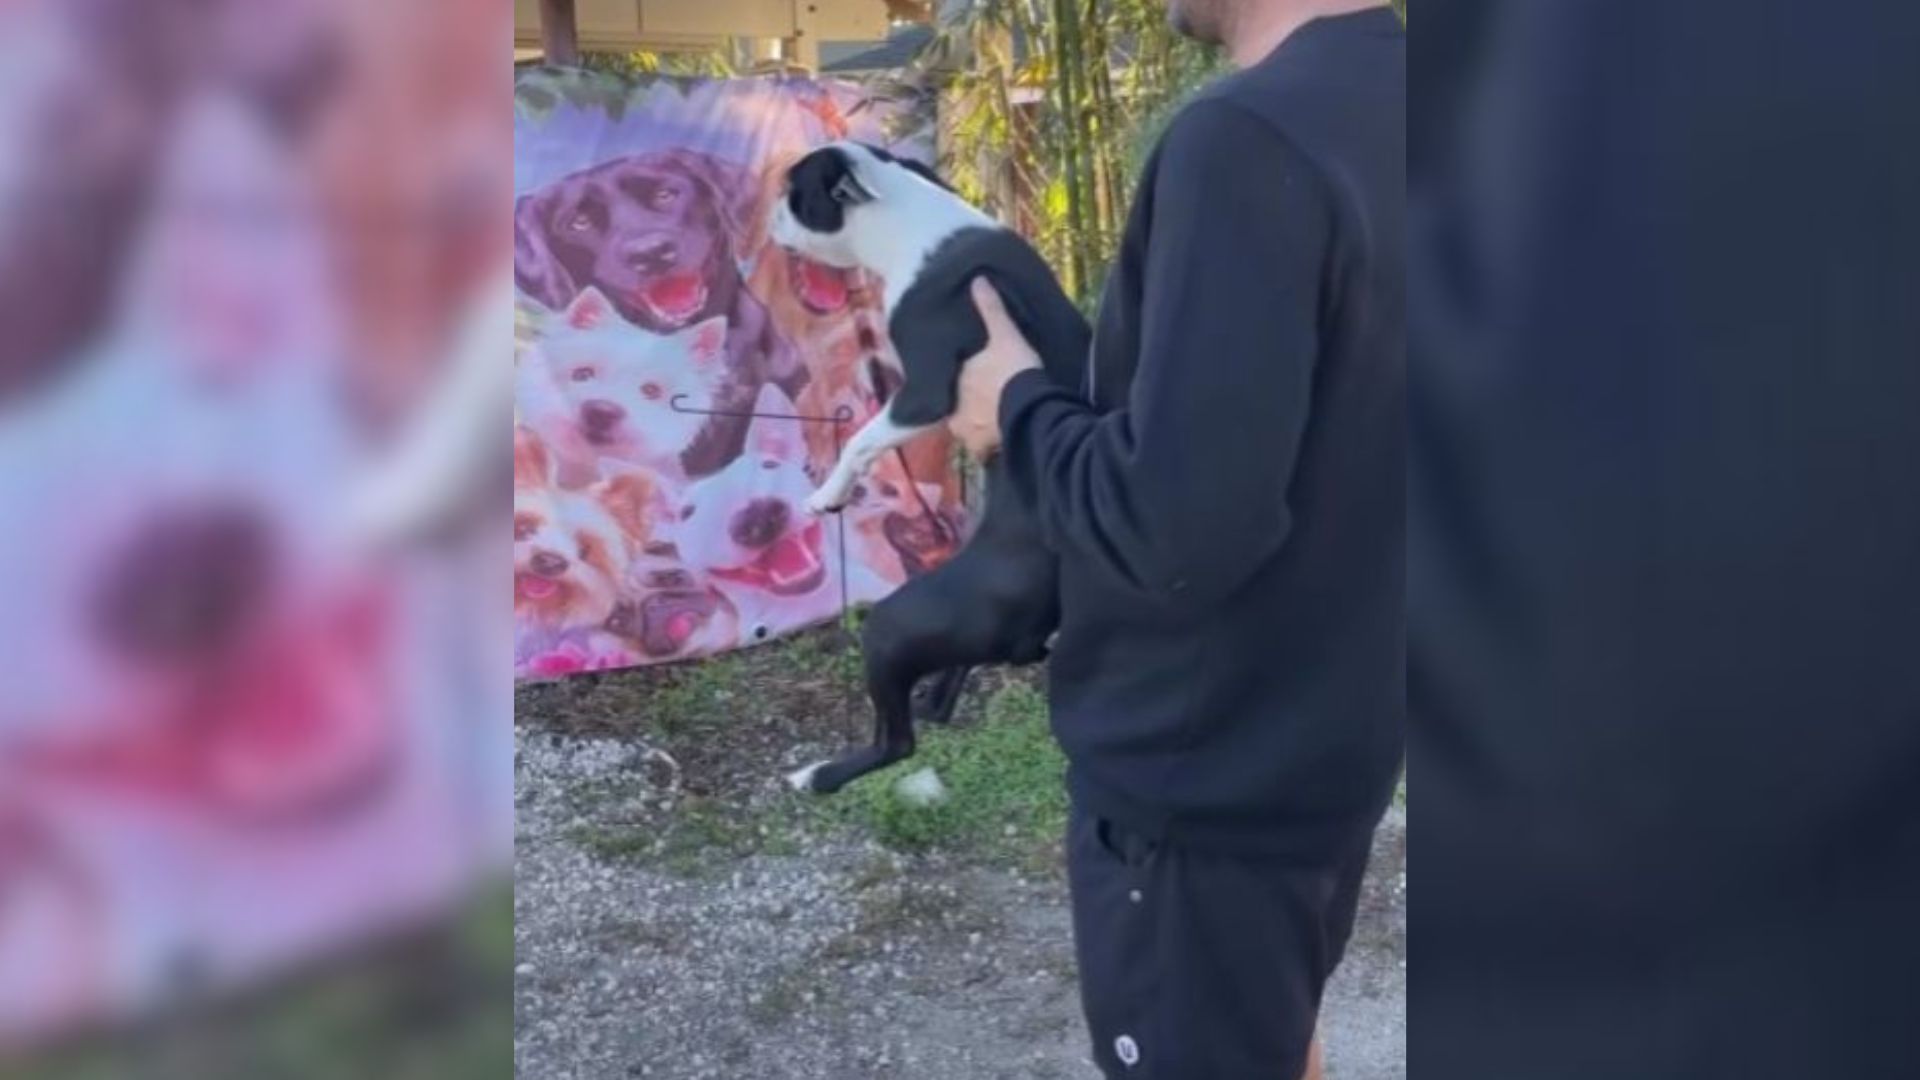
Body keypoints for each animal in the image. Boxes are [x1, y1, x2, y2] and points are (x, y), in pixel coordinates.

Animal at [768, 141, 1098, 791]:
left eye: (794, 195)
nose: (769, 211)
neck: (908, 220)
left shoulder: (922, 393)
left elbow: (860, 440)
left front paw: (829, 494)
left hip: (890, 628)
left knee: (896, 743)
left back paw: (819, 775)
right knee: (947, 690)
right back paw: (930, 700)